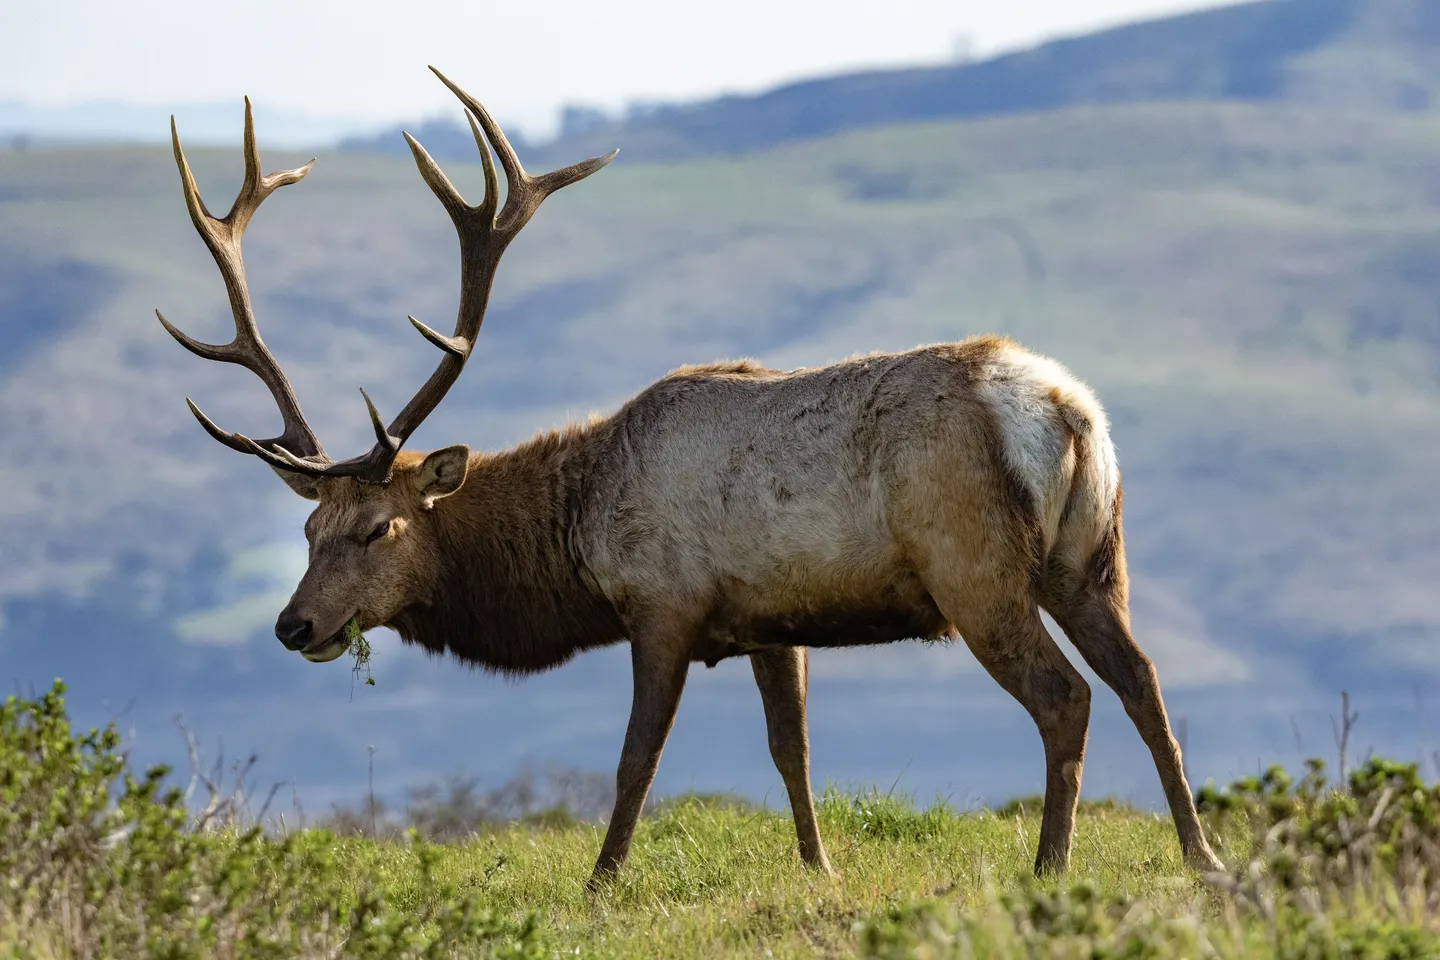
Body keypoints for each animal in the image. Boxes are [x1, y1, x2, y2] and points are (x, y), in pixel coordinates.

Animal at [158, 67, 1225, 884]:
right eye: (306, 531)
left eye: (378, 527)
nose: (295, 626)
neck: (579, 530)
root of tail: (1064, 409)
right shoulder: (774, 621)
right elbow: (791, 750)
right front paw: (818, 867)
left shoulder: (664, 602)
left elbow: (636, 759)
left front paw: (601, 880)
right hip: (1091, 556)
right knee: (1142, 680)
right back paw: (1202, 857)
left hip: (976, 570)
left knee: (1066, 696)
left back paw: (1050, 866)